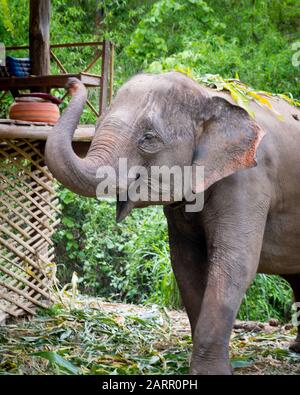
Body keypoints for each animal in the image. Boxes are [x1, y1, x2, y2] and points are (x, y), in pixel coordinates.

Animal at [45, 72, 300, 376]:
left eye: (149, 138)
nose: (71, 82)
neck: (207, 95)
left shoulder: (249, 182)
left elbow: (235, 264)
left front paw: (210, 373)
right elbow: (185, 265)